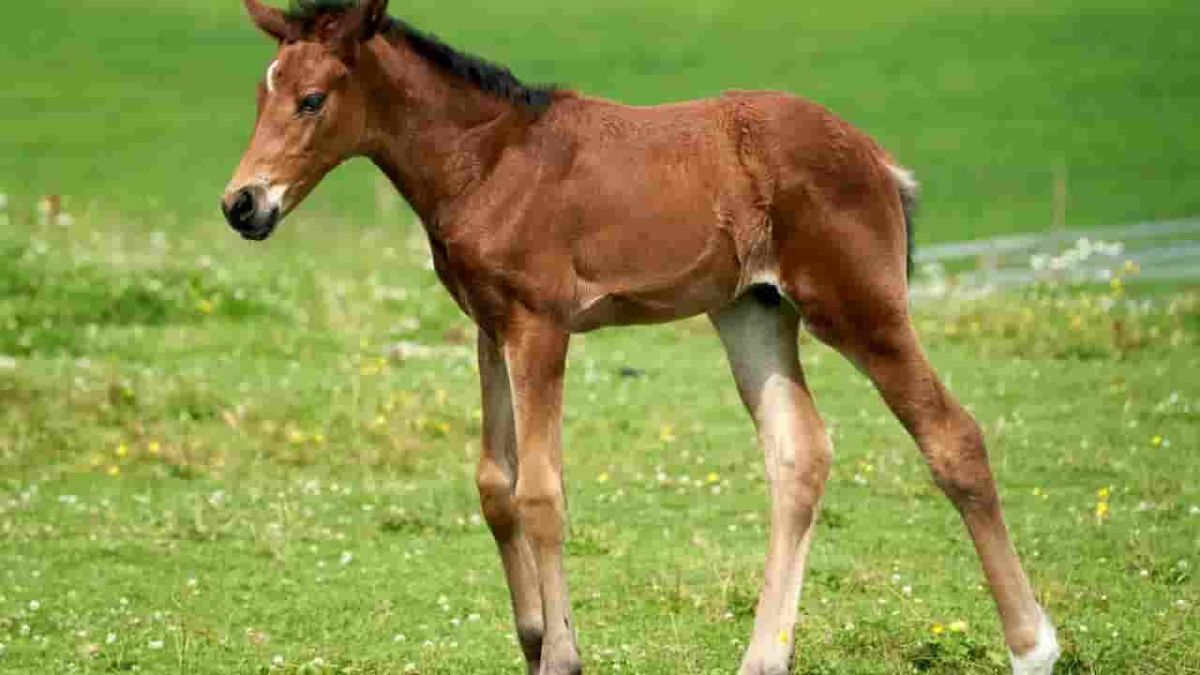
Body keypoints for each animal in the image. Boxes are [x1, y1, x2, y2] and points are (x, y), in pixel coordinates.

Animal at [222, 2, 1061, 673]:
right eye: (260, 94)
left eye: (312, 99)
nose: (243, 204)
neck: (488, 160)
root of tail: (880, 160)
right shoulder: (490, 326)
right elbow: (495, 485)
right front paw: (533, 638)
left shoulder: (540, 326)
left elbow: (540, 491)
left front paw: (562, 654)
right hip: (753, 311)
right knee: (799, 454)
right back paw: (761, 658)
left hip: (860, 307)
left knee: (952, 436)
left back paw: (1032, 646)